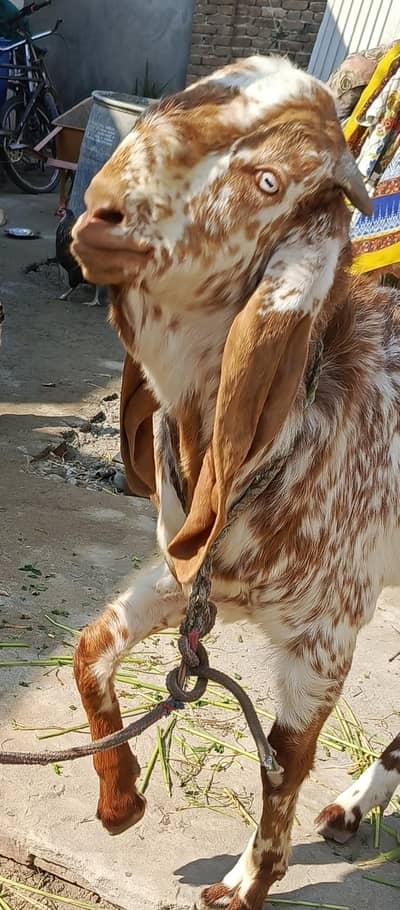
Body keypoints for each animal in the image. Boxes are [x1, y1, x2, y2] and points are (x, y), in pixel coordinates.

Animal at [71, 56, 400, 910]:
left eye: (268, 181)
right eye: (170, 106)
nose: (101, 211)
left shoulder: (326, 639)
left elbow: (282, 762)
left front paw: (248, 883)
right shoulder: (188, 574)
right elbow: (92, 647)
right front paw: (120, 802)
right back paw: (355, 807)